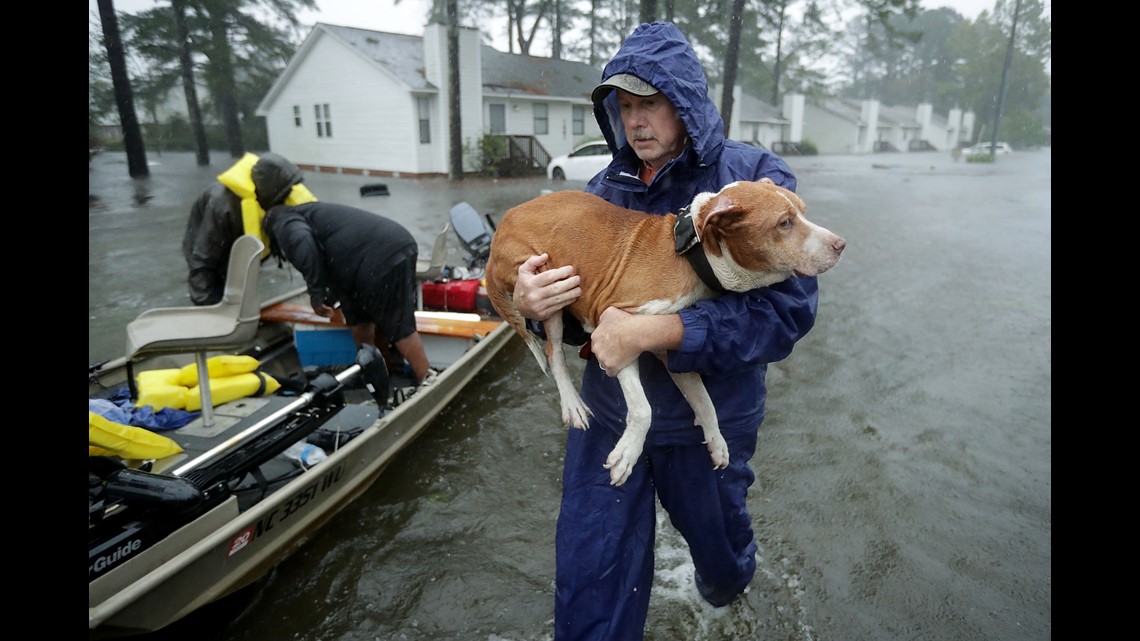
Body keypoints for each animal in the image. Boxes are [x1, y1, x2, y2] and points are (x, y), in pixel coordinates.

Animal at [483, 176, 848, 481]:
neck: (694, 256)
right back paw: (572, 404)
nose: (840, 244)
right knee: (553, 352)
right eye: (784, 223)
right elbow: (643, 409)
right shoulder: (612, 328)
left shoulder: (674, 349)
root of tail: (502, 226)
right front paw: (627, 454)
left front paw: (717, 441)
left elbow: (705, 402)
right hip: (546, 283)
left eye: (803, 212)